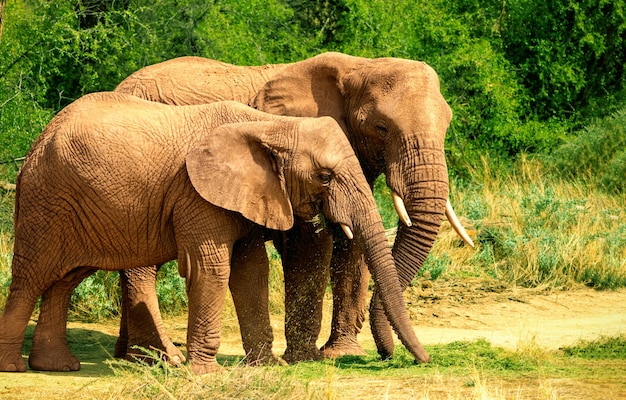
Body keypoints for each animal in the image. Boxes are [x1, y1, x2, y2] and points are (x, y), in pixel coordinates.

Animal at [0, 92, 428, 374]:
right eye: (325, 177)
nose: (414, 360)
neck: (270, 126)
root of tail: (38, 139)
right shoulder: (196, 194)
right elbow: (211, 269)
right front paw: (207, 374)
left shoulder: (250, 194)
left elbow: (251, 271)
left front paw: (266, 366)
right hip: (46, 198)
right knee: (31, 277)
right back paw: (16, 368)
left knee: (65, 281)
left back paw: (57, 367)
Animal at [113, 52, 472, 362]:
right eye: (381, 127)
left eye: (447, 126)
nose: (388, 355)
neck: (360, 66)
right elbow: (310, 245)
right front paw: (306, 358)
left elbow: (352, 246)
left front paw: (342, 354)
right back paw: (155, 356)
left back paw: (125, 353)